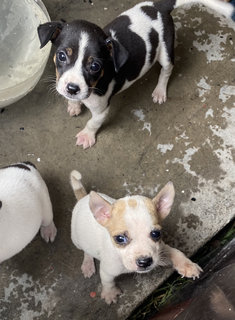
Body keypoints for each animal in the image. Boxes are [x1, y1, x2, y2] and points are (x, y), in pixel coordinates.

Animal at [37, 0, 234, 148]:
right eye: (62, 56)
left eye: (94, 66)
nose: (72, 88)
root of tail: (159, 6)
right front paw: (74, 104)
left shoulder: (101, 109)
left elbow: (93, 122)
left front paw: (86, 136)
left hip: (166, 51)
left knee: (166, 70)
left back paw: (160, 91)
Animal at [70, 169, 202, 304]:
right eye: (120, 239)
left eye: (156, 234)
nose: (145, 262)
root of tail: (83, 198)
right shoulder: (107, 270)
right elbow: (107, 282)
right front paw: (109, 293)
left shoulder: (161, 248)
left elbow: (175, 252)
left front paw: (187, 265)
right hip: (76, 240)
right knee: (86, 251)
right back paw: (87, 264)